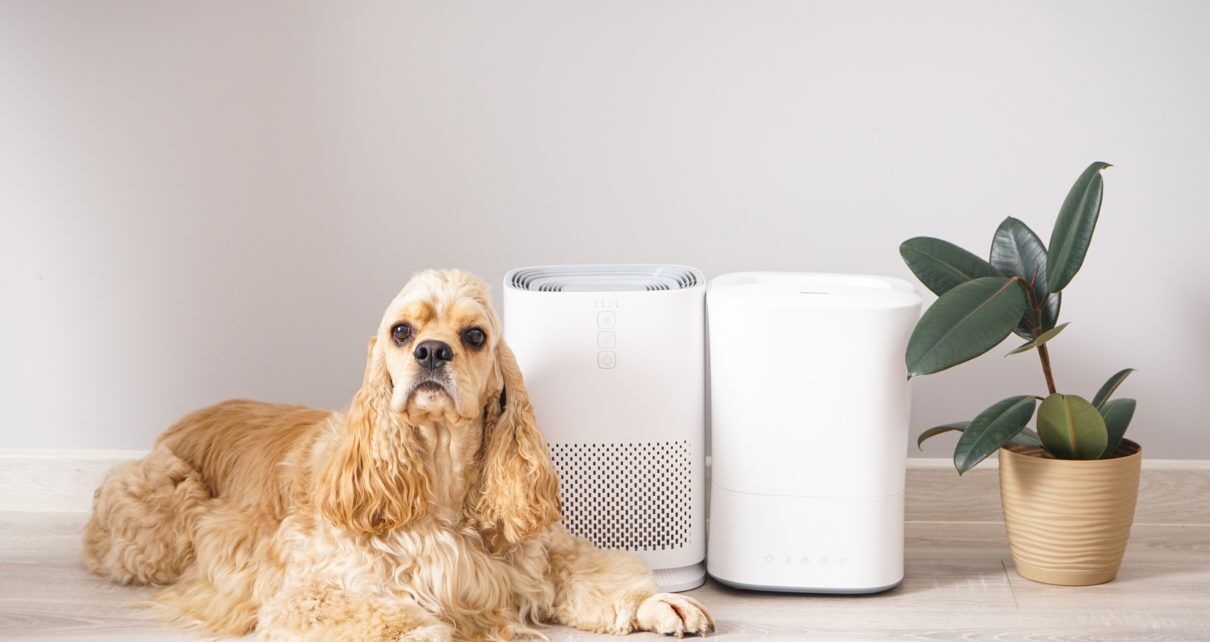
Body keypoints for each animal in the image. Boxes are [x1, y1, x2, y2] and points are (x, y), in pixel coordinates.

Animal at [80, 270, 711, 642]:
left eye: (475, 336)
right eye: (402, 331)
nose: (432, 352)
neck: (443, 485)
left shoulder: (541, 554)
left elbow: (594, 574)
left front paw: (663, 603)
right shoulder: (312, 599)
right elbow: (414, 626)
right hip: (160, 508)